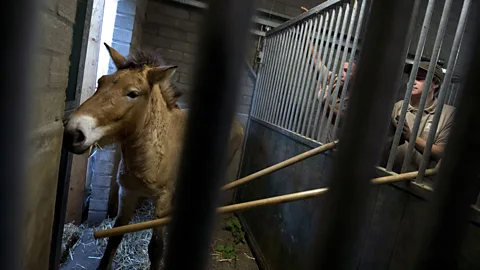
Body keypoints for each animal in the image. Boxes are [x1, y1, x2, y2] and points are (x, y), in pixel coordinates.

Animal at [62, 43, 246, 268]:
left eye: (133, 93)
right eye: (101, 82)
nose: (73, 132)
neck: (149, 157)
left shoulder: (162, 199)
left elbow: (156, 247)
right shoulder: (127, 193)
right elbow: (115, 237)